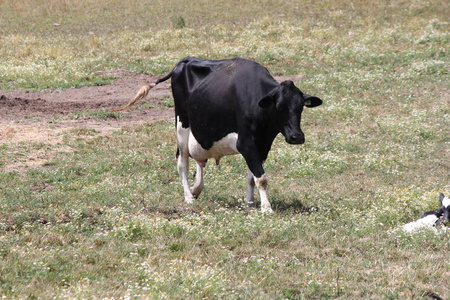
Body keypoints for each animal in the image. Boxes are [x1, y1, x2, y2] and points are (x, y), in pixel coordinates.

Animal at [114, 57, 322, 212]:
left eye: (301, 107)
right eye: (279, 107)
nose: (297, 136)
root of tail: (187, 60)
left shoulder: (263, 145)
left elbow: (252, 176)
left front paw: (249, 203)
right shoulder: (246, 143)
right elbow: (261, 178)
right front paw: (266, 208)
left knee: (199, 158)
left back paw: (196, 188)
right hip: (182, 123)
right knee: (182, 161)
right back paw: (189, 196)